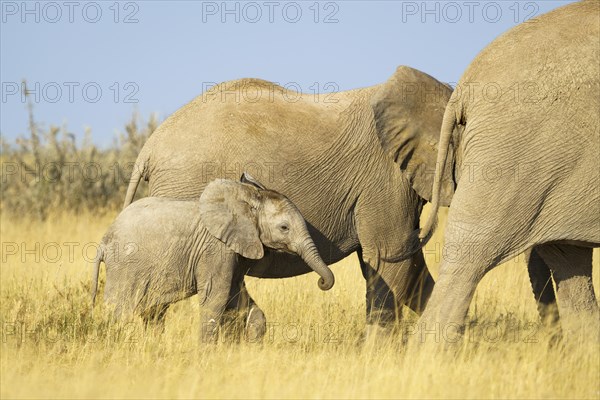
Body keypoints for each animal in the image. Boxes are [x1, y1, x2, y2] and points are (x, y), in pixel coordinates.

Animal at [92, 173, 336, 342]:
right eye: (284, 228)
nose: (322, 282)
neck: (246, 200)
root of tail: (103, 240)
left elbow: (237, 296)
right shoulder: (216, 249)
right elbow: (215, 297)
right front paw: (204, 353)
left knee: (153, 312)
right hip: (125, 268)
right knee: (118, 312)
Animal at [123, 68, 450, 338]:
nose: (322, 284)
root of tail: (148, 148)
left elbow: (409, 268)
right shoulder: (385, 177)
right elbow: (392, 259)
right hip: (183, 189)